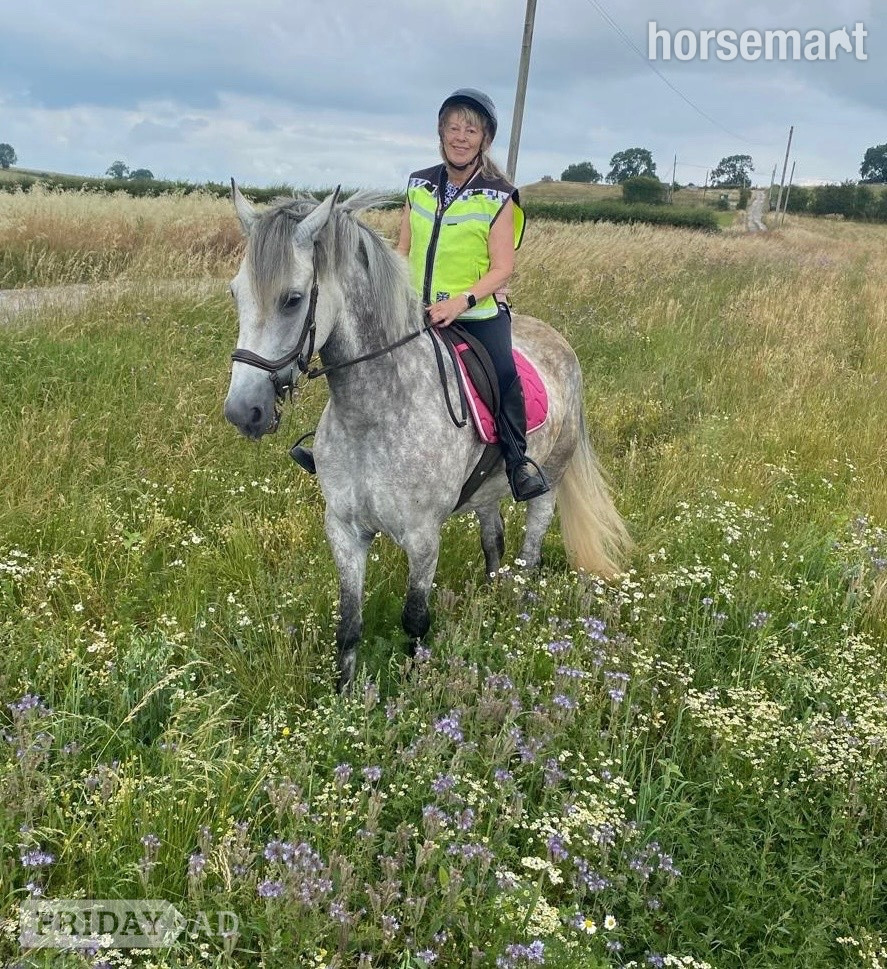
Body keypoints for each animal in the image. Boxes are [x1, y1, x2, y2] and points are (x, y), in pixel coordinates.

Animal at [223, 184, 630, 690]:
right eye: (236, 292)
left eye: (293, 299)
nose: (244, 411)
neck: (374, 414)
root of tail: (560, 343)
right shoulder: (344, 530)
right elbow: (349, 625)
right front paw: (343, 697)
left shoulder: (422, 537)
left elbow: (415, 618)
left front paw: (415, 687)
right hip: (487, 490)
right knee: (494, 542)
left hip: (548, 484)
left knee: (530, 553)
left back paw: (516, 617)